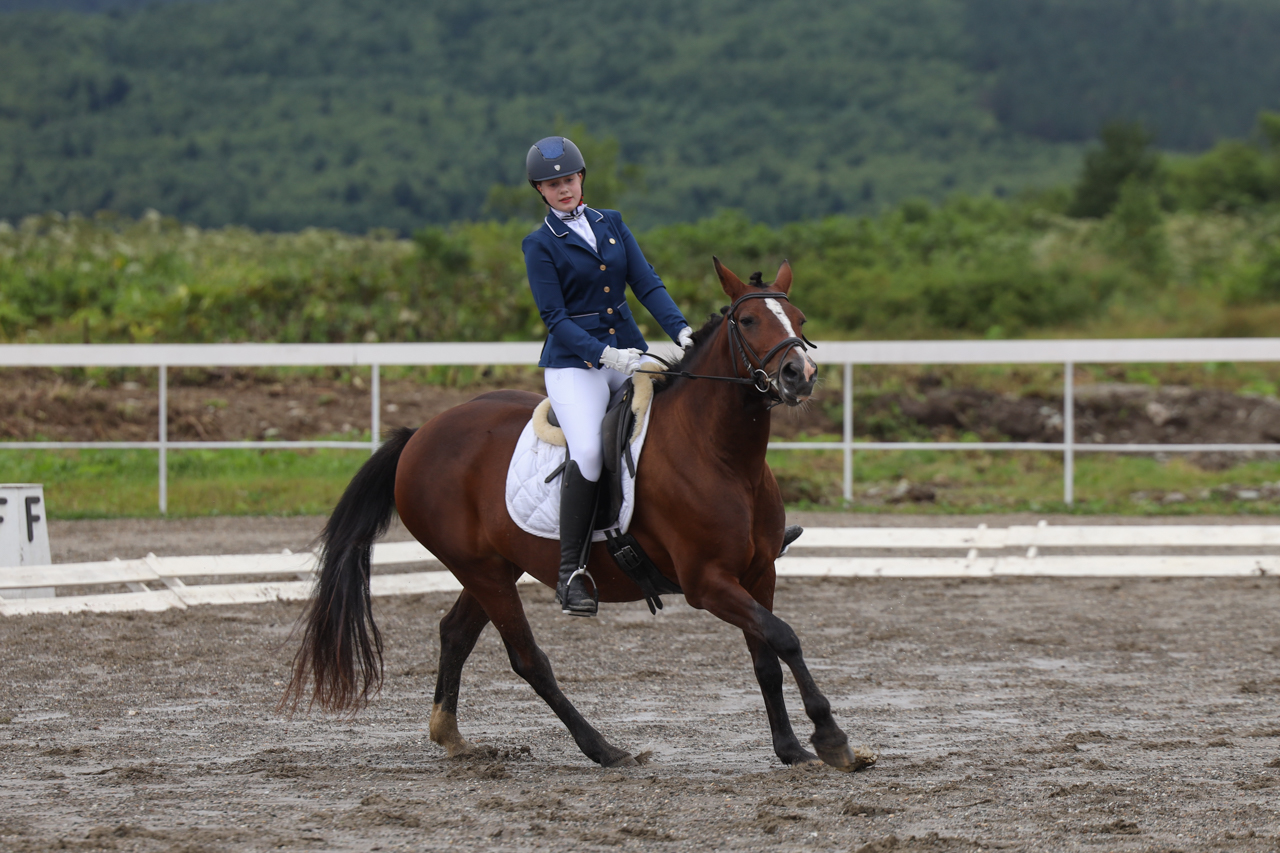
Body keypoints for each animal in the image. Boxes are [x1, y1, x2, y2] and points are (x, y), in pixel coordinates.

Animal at [285, 256, 875, 768]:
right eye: (749, 320)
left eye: (800, 320)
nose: (801, 374)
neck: (726, 457)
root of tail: (419, 435)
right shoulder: (708, 583)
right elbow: (784, 637)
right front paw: (832, 739)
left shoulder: (758, 572)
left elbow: (765, 657)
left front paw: (792, 749)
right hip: (482, 570)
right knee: (529, 660)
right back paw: (604, 749)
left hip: (495, 568)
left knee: (455, 633)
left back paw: (452, 737)